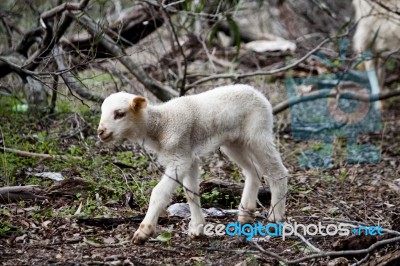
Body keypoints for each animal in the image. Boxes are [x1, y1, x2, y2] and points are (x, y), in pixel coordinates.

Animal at [98, 84, 290, 244]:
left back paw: (275, 216)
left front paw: (143, 232)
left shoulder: (180, 158)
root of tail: (259, 94)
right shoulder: (189, 157)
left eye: (119, 114)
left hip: (258, 133)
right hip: (234, 142)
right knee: (253, 171)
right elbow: (191, 193)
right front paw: (197, 228)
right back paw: (245, 214)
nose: (100, 132)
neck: (161, 125)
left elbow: (159, 193)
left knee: (277, 170)